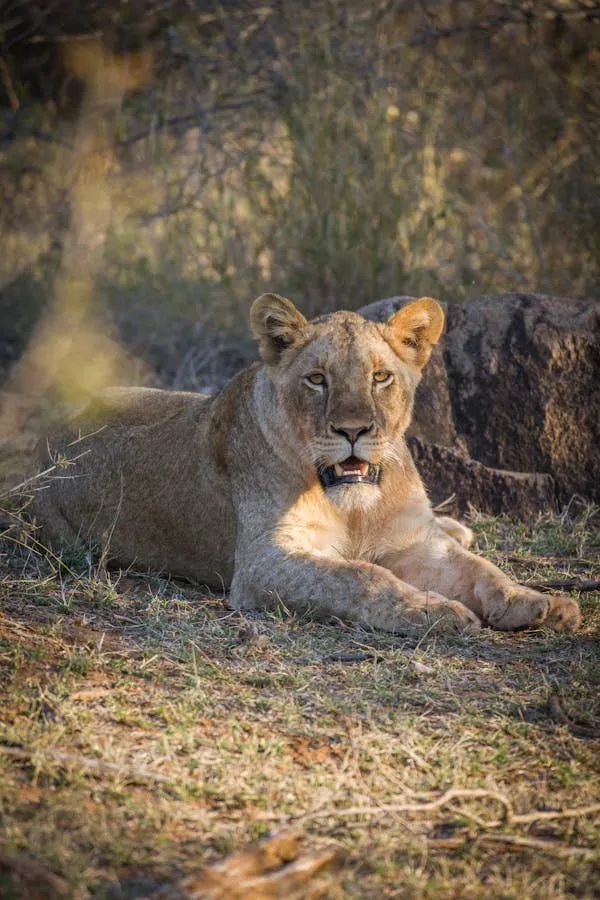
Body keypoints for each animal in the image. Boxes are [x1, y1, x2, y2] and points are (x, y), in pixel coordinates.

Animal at [33, 294, 581, 634]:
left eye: (380, 377)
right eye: (317, 379)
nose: (353, 431)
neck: (356, 504)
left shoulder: (412, 543)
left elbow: (481, 569)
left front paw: (538, 603)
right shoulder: (263, 562)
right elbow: (361, 576)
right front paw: (433, 611)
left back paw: (458, 529)